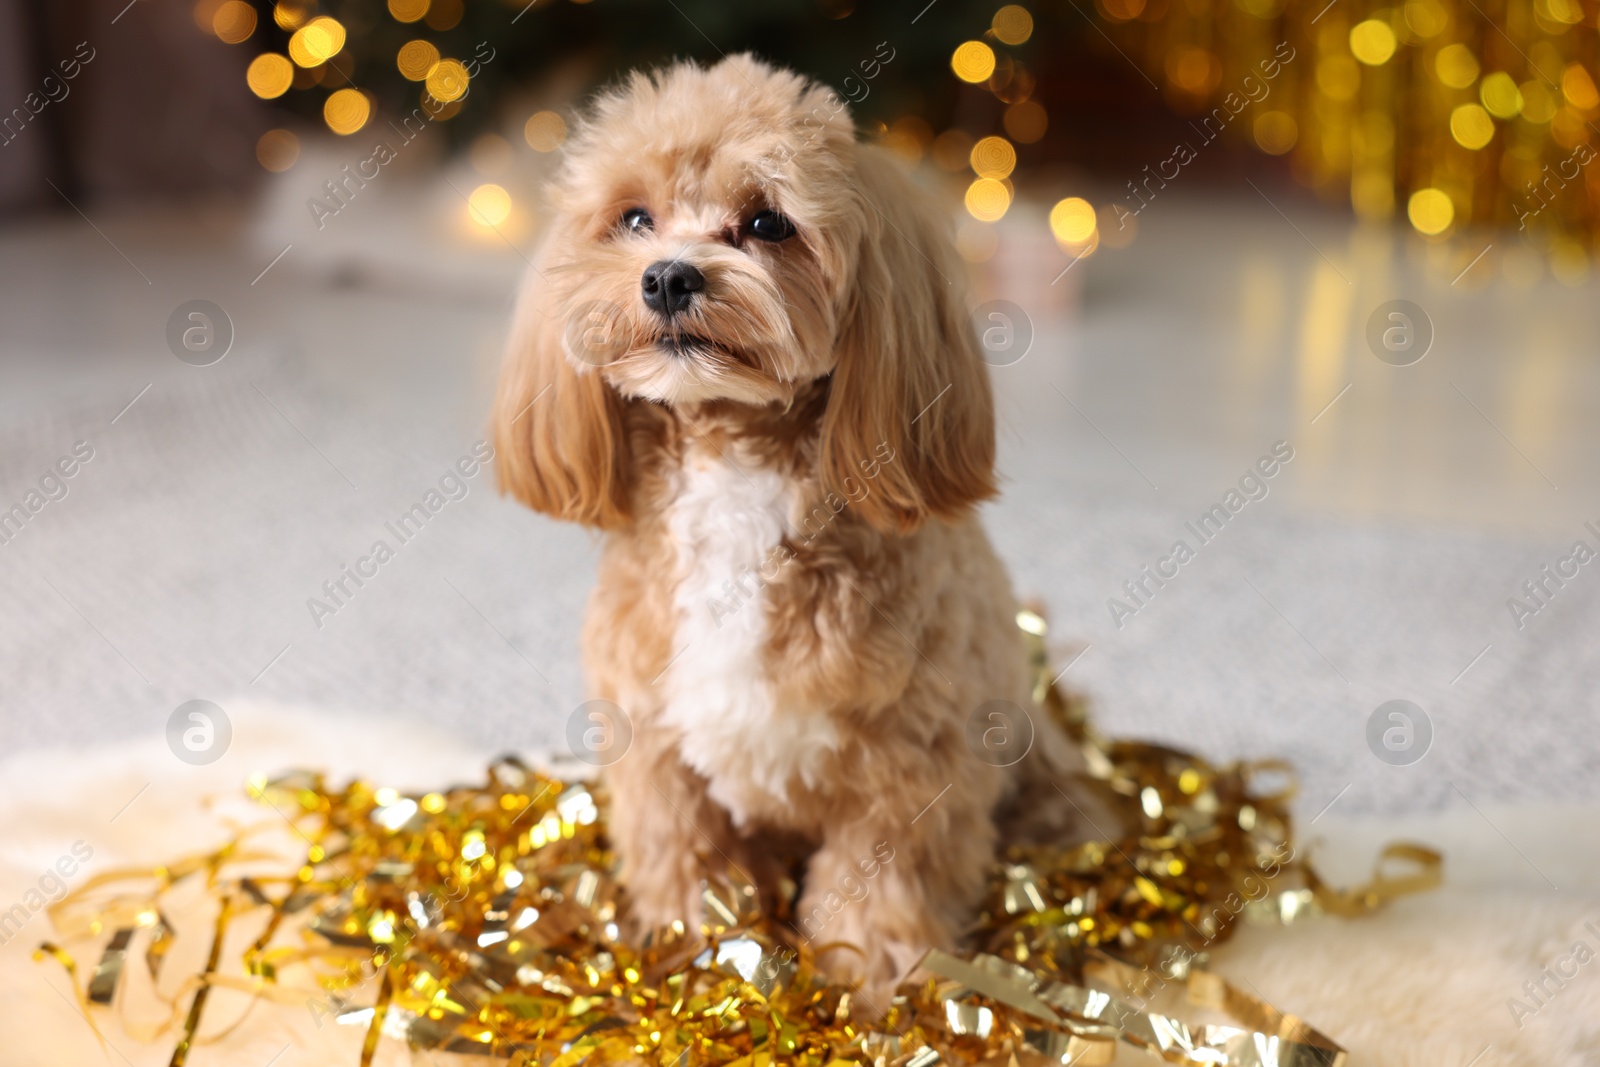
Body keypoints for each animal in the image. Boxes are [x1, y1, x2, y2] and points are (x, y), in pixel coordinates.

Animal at [492, 56, 1107, 1011]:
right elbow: (685, 856)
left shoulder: (911, 766)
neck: (737, 473)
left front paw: (874, 980)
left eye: (766, 223)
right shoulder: (657, 751)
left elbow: (882, 879)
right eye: (632, 218)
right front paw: (701, 957)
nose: (668, 276)